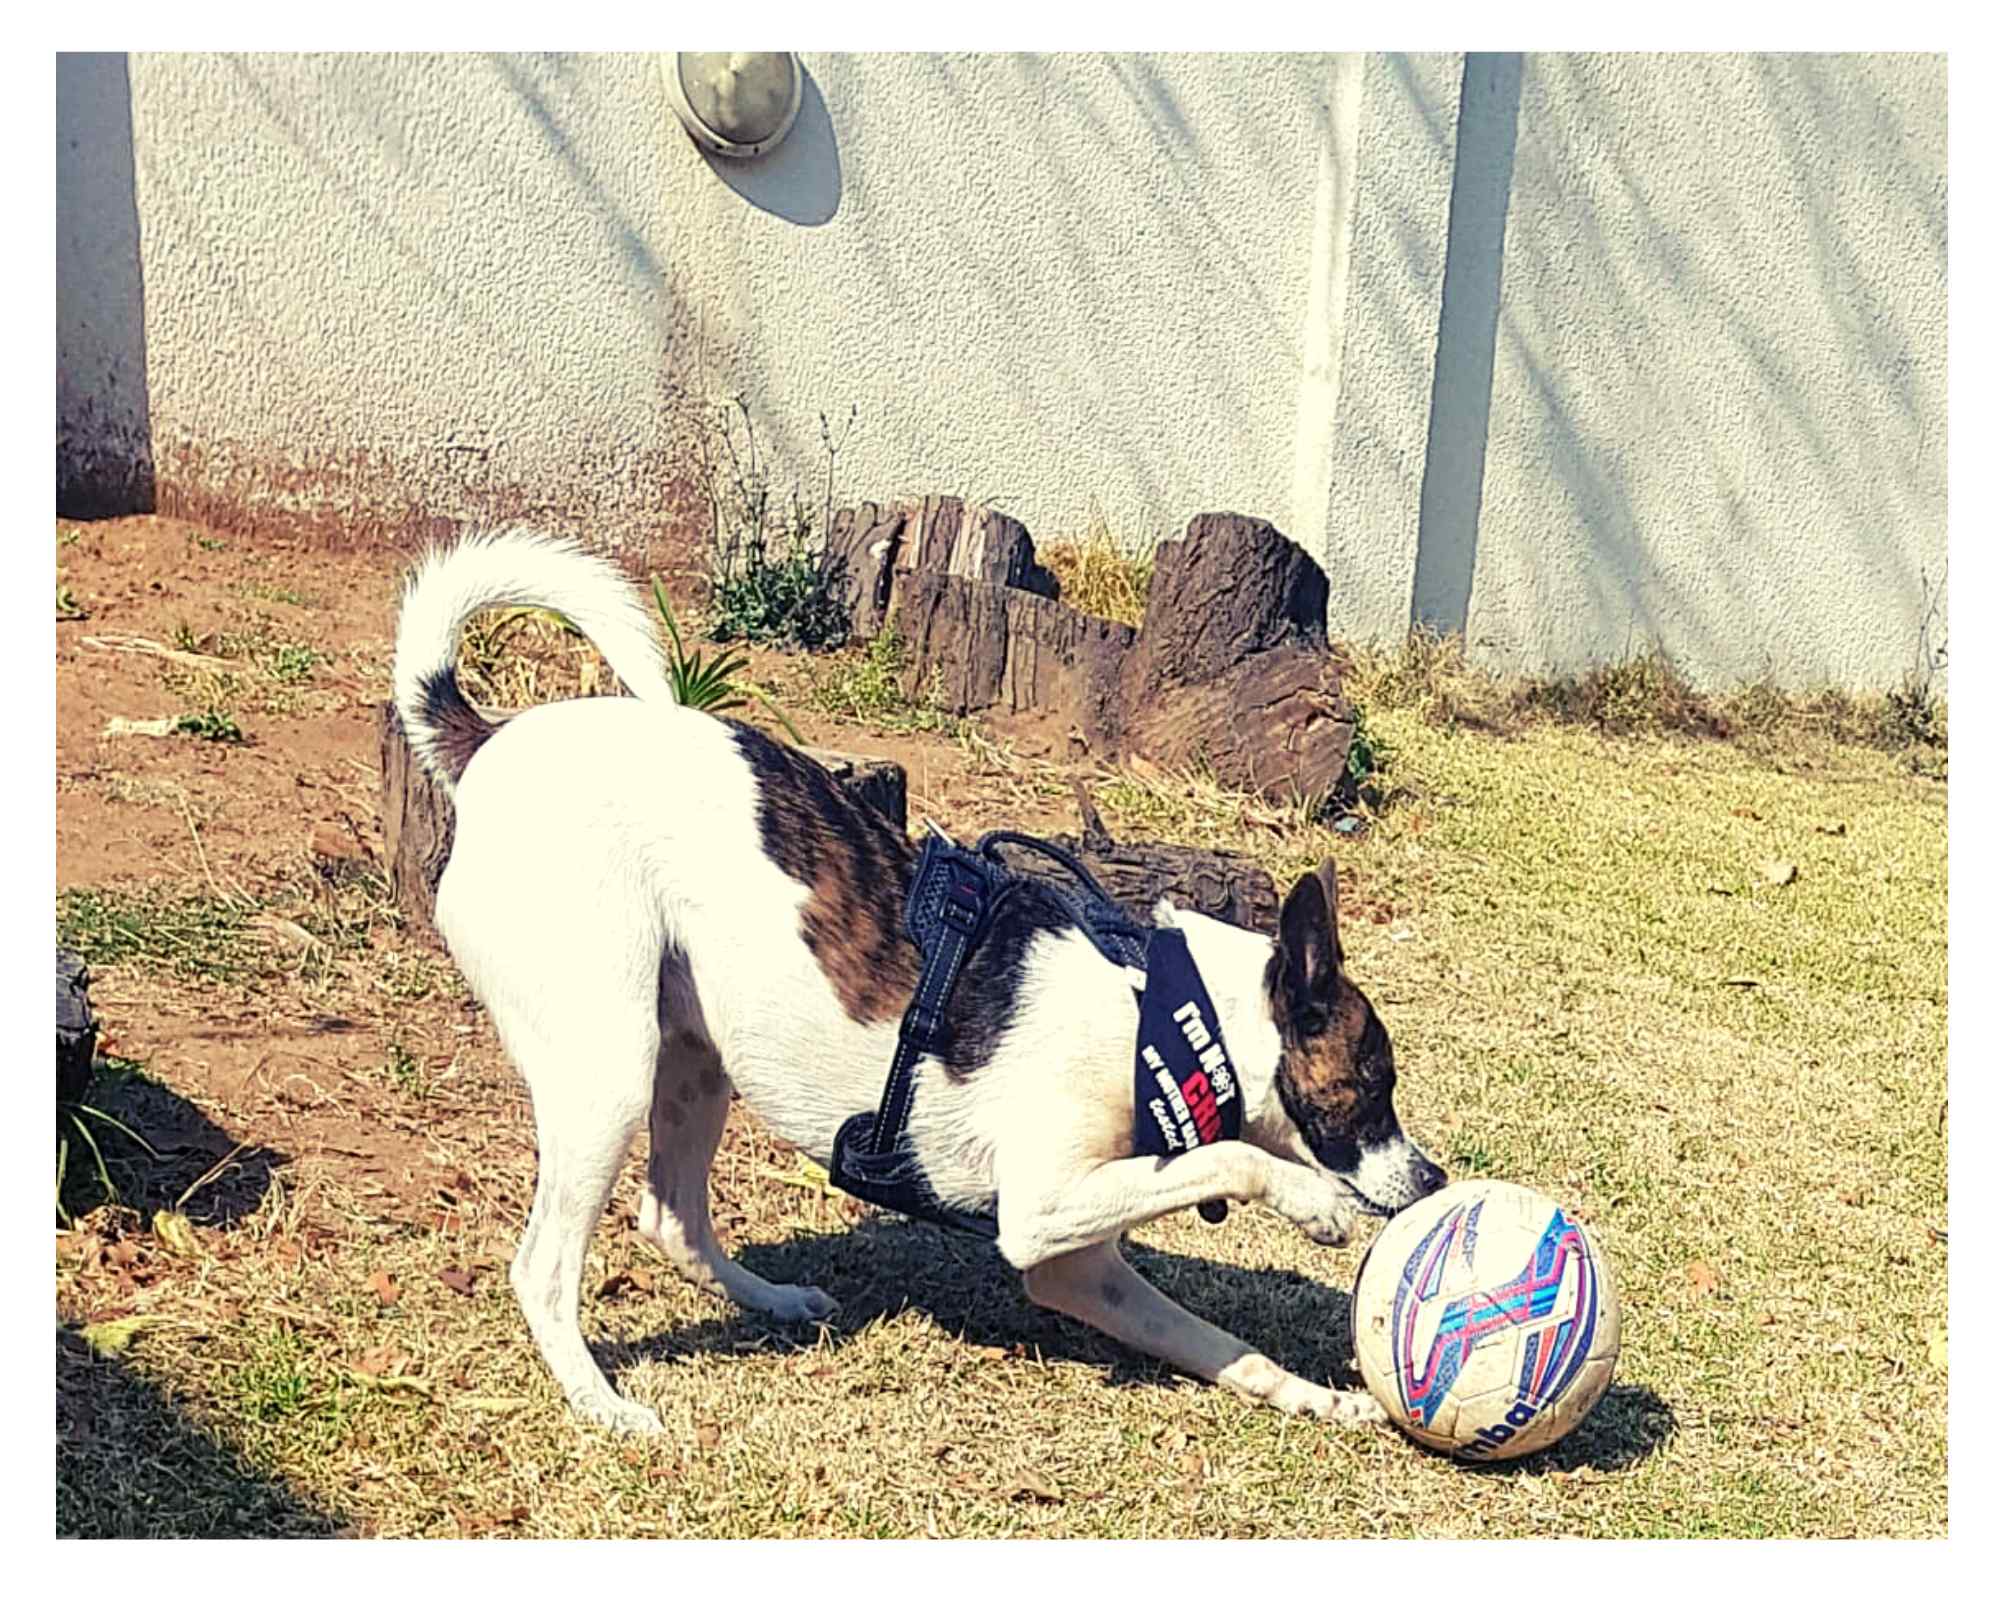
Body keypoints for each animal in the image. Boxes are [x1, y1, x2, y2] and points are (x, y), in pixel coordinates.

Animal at [392, 530, 1446, 1434]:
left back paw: (773, 1301)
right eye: (1374, 1082)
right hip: (612, 1068)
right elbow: (1232, 1159)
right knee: (542, 1269)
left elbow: (1230, 1349)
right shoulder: (1040, 1210)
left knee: (672, 1218)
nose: (1434, 1178)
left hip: (694, 1058)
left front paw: (1321, 1397)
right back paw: (600, 1402)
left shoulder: (1075, 1267)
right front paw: (1311, 1202)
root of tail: (487, 745)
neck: (1169, 1018)